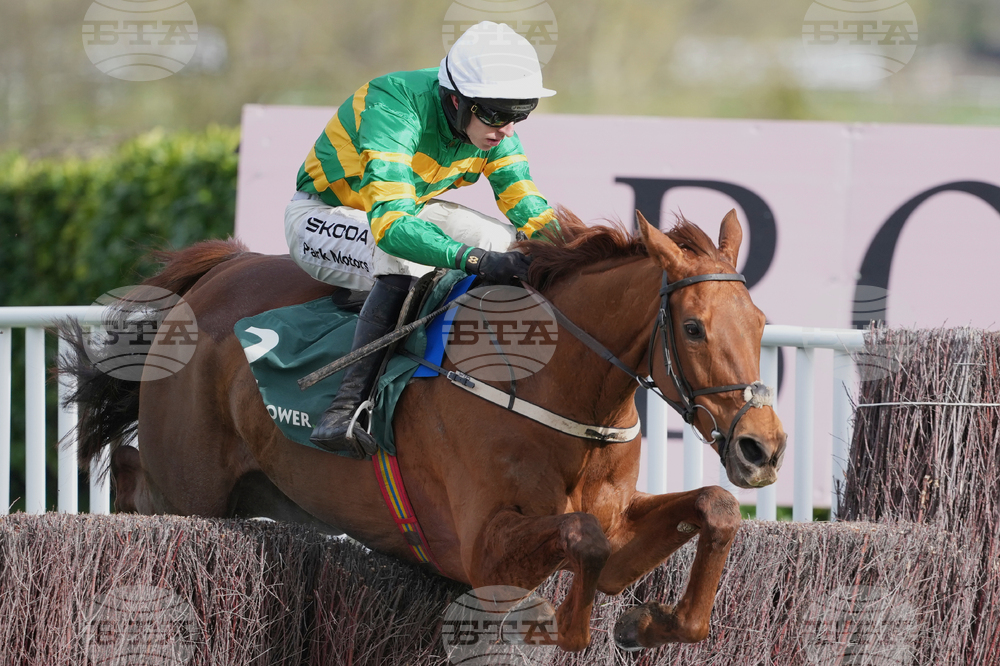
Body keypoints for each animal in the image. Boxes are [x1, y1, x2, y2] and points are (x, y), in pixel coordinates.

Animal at [61, 208, 786, 652]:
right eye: (692, 327)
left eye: (759, 322)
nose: (763, 447)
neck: (552, 385)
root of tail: (216, 272)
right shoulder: (483, 550)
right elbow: (583, 538)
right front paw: (574, 626)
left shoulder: (615, 518)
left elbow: (711, 508)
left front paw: (651, 619)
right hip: (190, 488)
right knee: (132, 476)